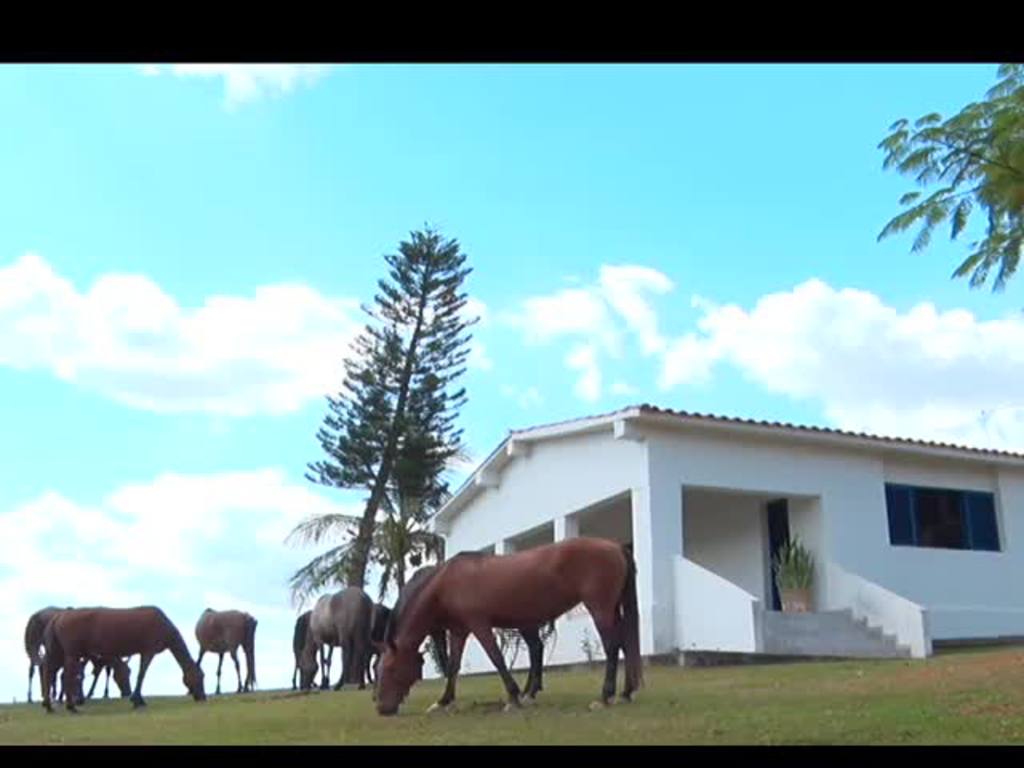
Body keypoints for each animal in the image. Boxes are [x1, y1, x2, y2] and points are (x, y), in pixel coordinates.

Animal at [40, 606, 204, 716]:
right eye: (201, 676)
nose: (202, 697)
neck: (163, 625)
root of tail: (59, 616)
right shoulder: (148, 651)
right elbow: (141, 674)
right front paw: (137, 700)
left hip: (57, 652)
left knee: (48, 672)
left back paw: (49, 705)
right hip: (71, 654)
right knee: (66, 676)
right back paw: (71, 707)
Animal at [374, 536, 638, 720]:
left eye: (389, 669)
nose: (382, 709)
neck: (446, 584)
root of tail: (615, 546)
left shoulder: (479, 624)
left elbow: (497, 658)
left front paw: (513, 697)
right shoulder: (459, 631)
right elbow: (453, 666)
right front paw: (443, 701)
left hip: (600, 608)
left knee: (612, 646)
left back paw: (605, 696)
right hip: (612, 608)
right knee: (625, 643)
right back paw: (625, 693)